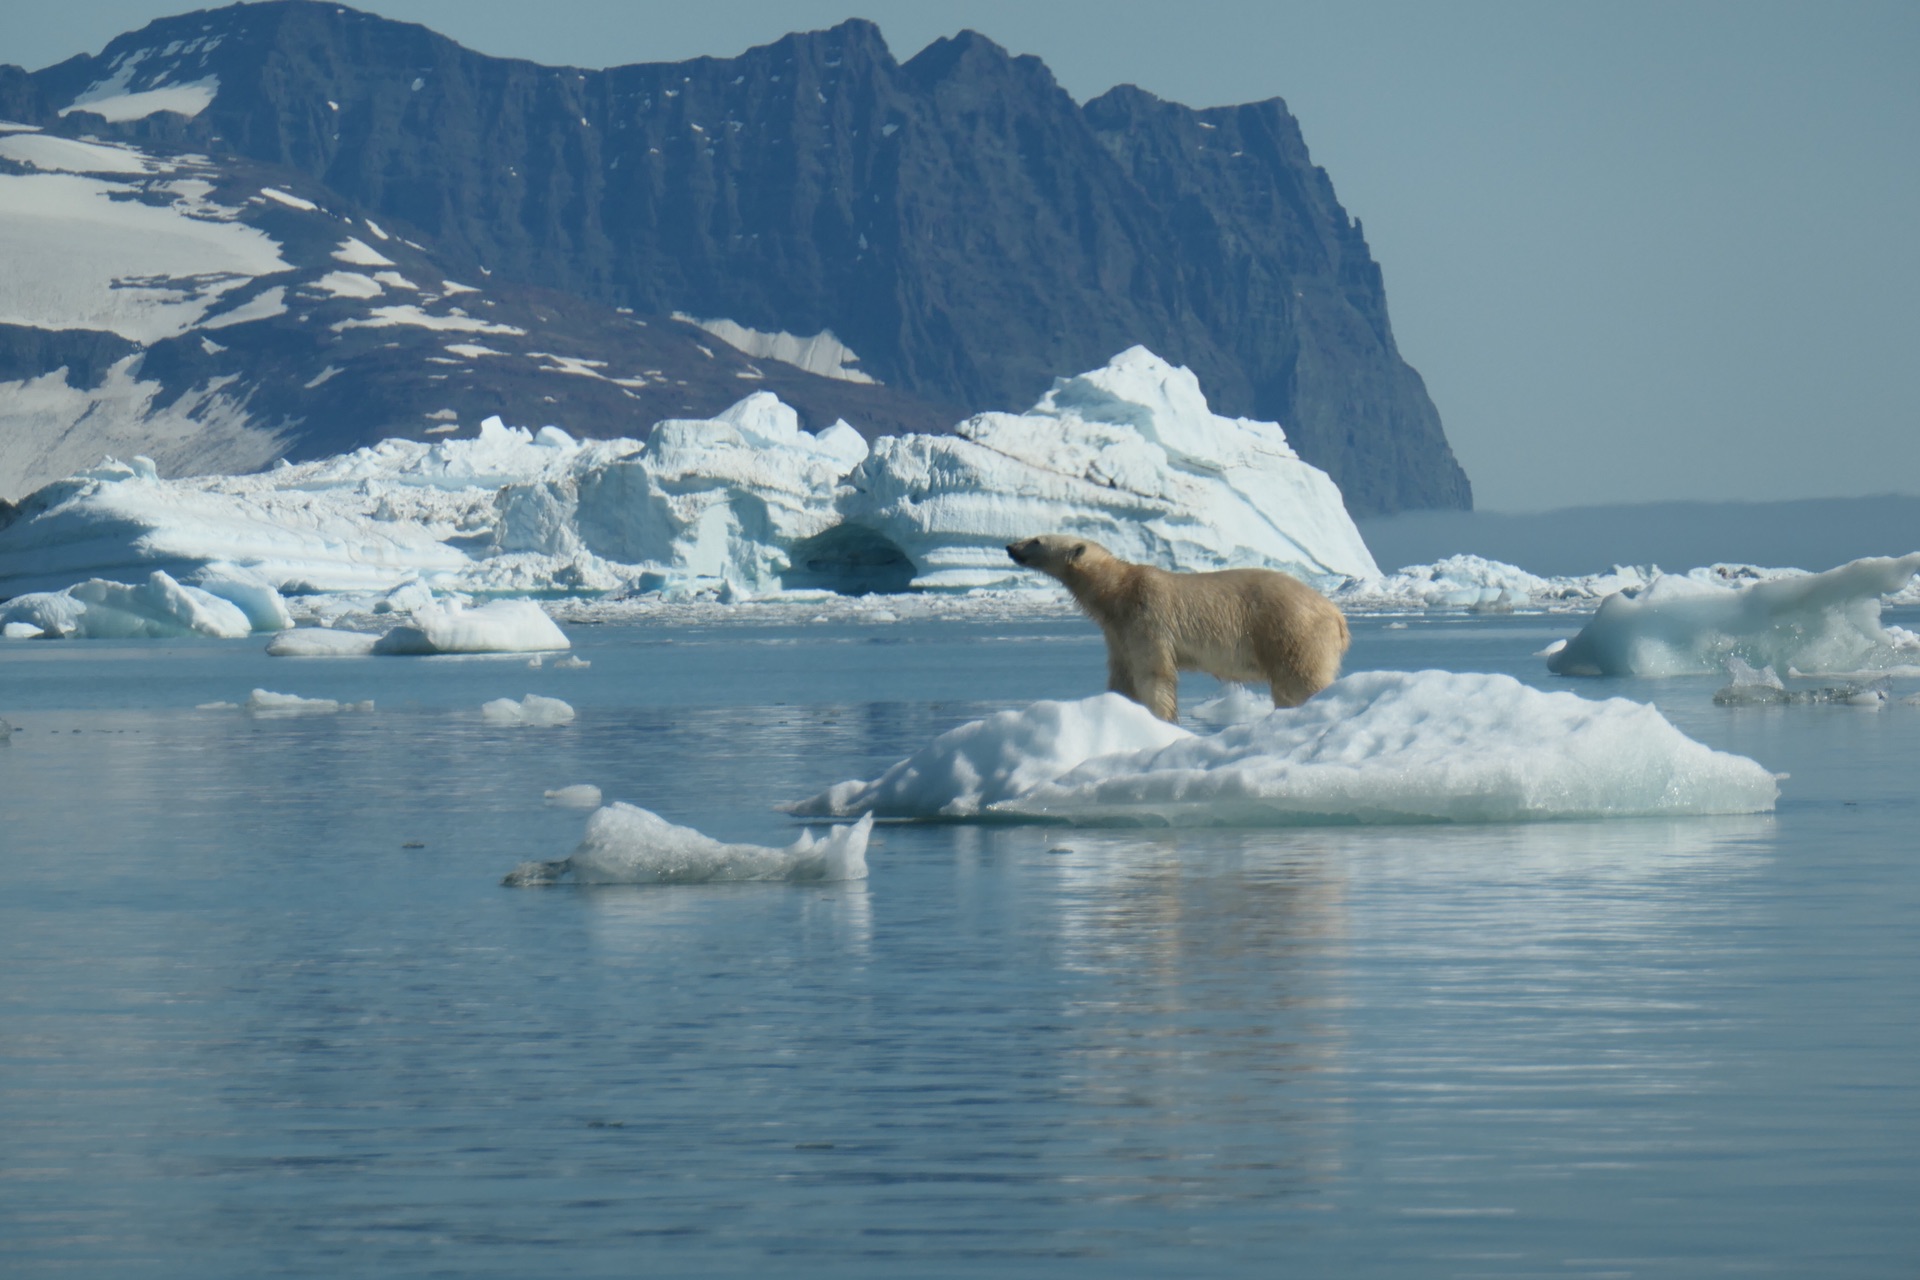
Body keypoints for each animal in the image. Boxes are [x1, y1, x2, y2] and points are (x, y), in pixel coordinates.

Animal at [1006, 537, 1351, 725]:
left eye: (1037, 540)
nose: (1010, 546)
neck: (1116, 589)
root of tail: (1337, 616)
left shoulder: (1147, 618)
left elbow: (1154, 674)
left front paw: (1161, 718)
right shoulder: (1117, 633)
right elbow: (1122, 676)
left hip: (1292, 629)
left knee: (1302, 678)